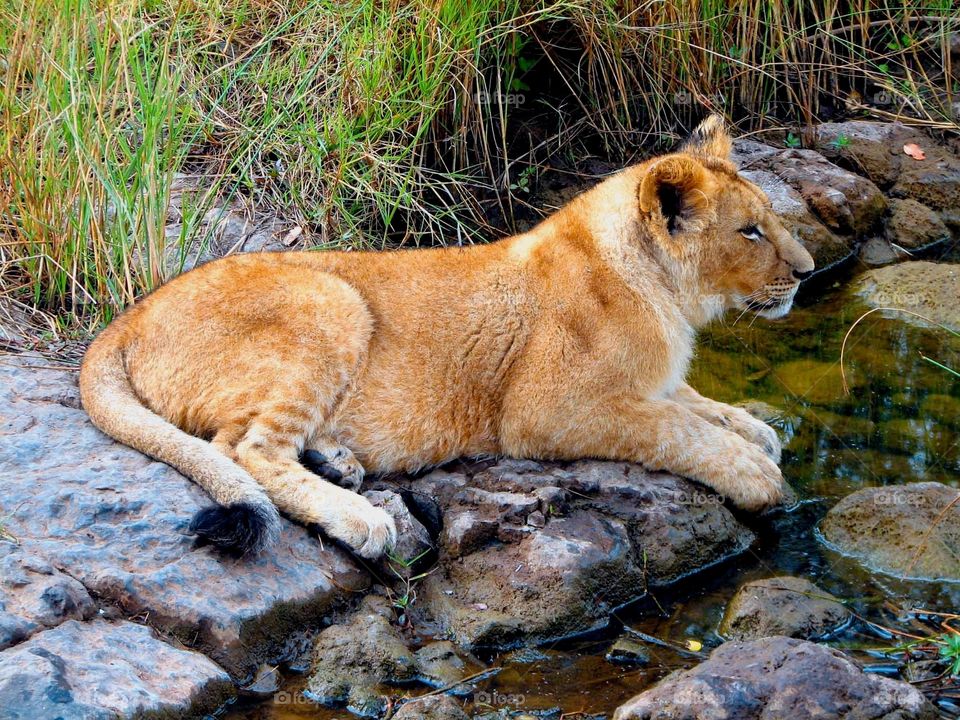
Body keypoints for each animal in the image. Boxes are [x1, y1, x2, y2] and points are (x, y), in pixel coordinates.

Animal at [82, 116, 812, 556]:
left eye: (767, 221)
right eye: (750, 231)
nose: (806, 272)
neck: (669, 297)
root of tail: (126, 320)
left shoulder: (651, 382)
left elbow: (696, 404)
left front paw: (754, 429)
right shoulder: (547, 413)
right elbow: (673, 428)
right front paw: (753, 471)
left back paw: (337, 462)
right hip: (332, 300)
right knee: (244, 449)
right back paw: (359, 517)